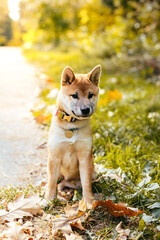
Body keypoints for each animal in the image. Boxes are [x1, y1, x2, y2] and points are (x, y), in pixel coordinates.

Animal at [45, 64, 101, 207]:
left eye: (90, 95)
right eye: (74, 95)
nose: (86, 109)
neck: (71, 127)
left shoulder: (85, 159)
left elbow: (87, 184)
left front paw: (89, 201)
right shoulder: (54, 157)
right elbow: (51, 183)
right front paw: (48, 199)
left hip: (89, 173)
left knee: (67, 184)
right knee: (55, 182)